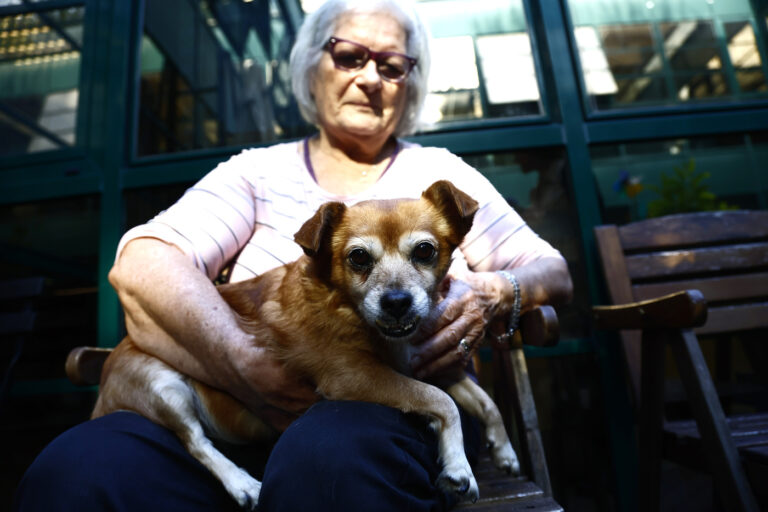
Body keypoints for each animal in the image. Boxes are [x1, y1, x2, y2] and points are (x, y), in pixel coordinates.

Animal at [93, 180, 520, 508]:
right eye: (358, 258)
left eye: (425, 251)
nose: (396, 302)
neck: (348, 309)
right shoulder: (356, 377)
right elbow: (442, 402)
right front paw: (459, 469)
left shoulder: (428, 367)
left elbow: (484, 402)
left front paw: (503, 449)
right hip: (163, 386)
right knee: (194, 442)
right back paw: (243, 483)